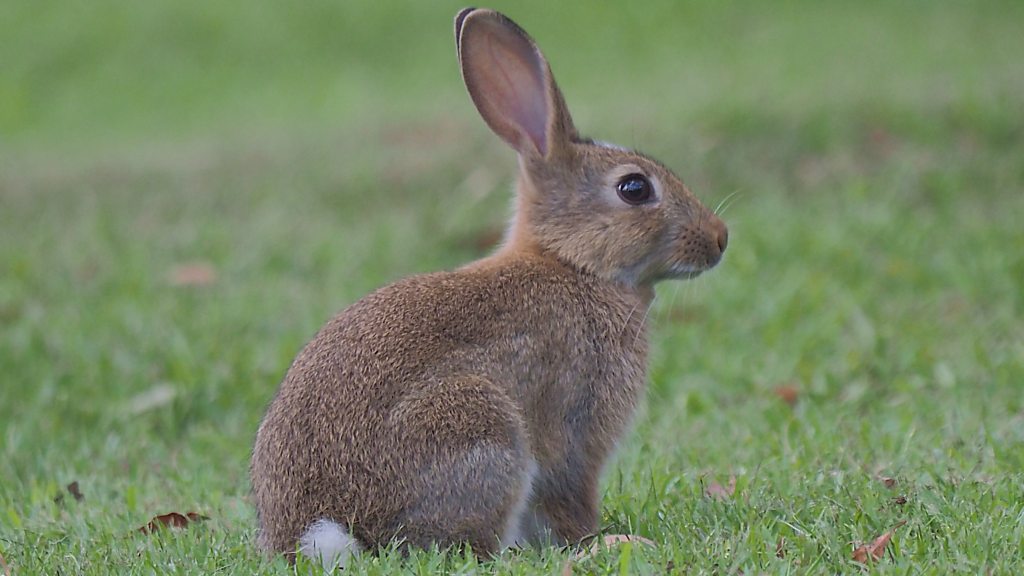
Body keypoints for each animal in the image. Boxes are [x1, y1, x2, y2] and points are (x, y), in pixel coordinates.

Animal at [251, 6, 728, 570]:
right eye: (634, 188)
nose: (720, 238)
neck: (574, 266)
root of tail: (325, 532)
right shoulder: (575, 427)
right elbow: (571, 496)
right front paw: (605, 542)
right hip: (481, 428)